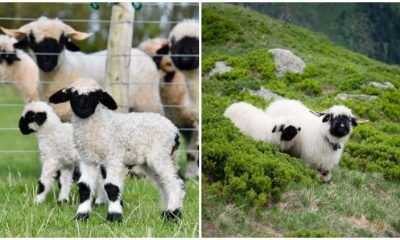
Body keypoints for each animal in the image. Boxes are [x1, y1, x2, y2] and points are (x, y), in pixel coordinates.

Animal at [48, 78, 184, 222]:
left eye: (96, 96)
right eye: (73, 94)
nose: (83, 109)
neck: (97, 126)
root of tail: (175, 131)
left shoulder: (113, 157)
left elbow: (111, 187)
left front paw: (114, 216)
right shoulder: (87, 160)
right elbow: (85, 187)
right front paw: (81, 215)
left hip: (160, 155)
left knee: (174, 183)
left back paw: (172, 213)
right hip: (151, 162)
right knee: (164, 184)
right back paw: (168, 213)